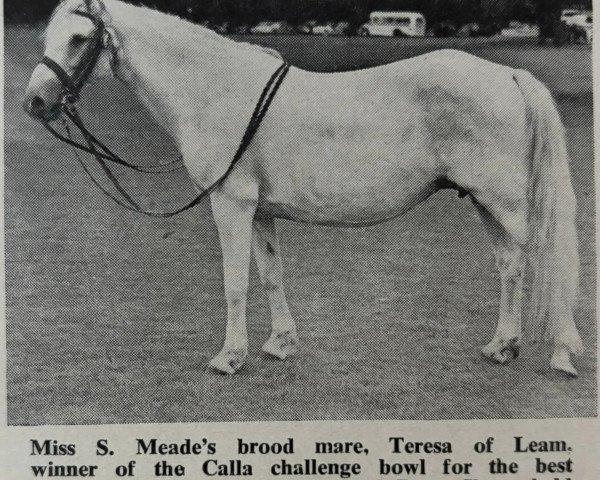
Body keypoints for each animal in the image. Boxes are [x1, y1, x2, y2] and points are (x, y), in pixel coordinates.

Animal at [25, 0, 584, 376]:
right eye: (48, 36)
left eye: (79, 38)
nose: (34, 102)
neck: (215, 90)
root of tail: (509, 76)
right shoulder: (259, 210)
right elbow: (271, 275)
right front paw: (280, 344)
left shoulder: (230, 204)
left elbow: (235, 282)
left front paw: (229, 357)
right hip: (488, 204)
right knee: (511, 267)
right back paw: (502, 347)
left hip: (507, 204)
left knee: (543, 264)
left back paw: (559, 351)